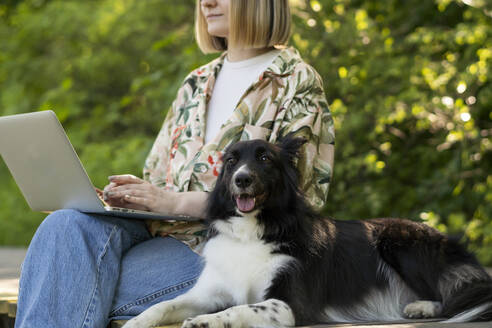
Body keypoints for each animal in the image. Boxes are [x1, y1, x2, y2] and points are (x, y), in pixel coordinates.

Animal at [124, 136, 492, 328]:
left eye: (264, 158)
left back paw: (422, 308)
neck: (253, 231)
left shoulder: (290, 305)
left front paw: (206, 321)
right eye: (230, 161)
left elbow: (240, 308)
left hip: (398, 240)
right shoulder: (207, 292)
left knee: (448, 296)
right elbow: (163, 305)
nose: (242, 179)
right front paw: (136, 322)